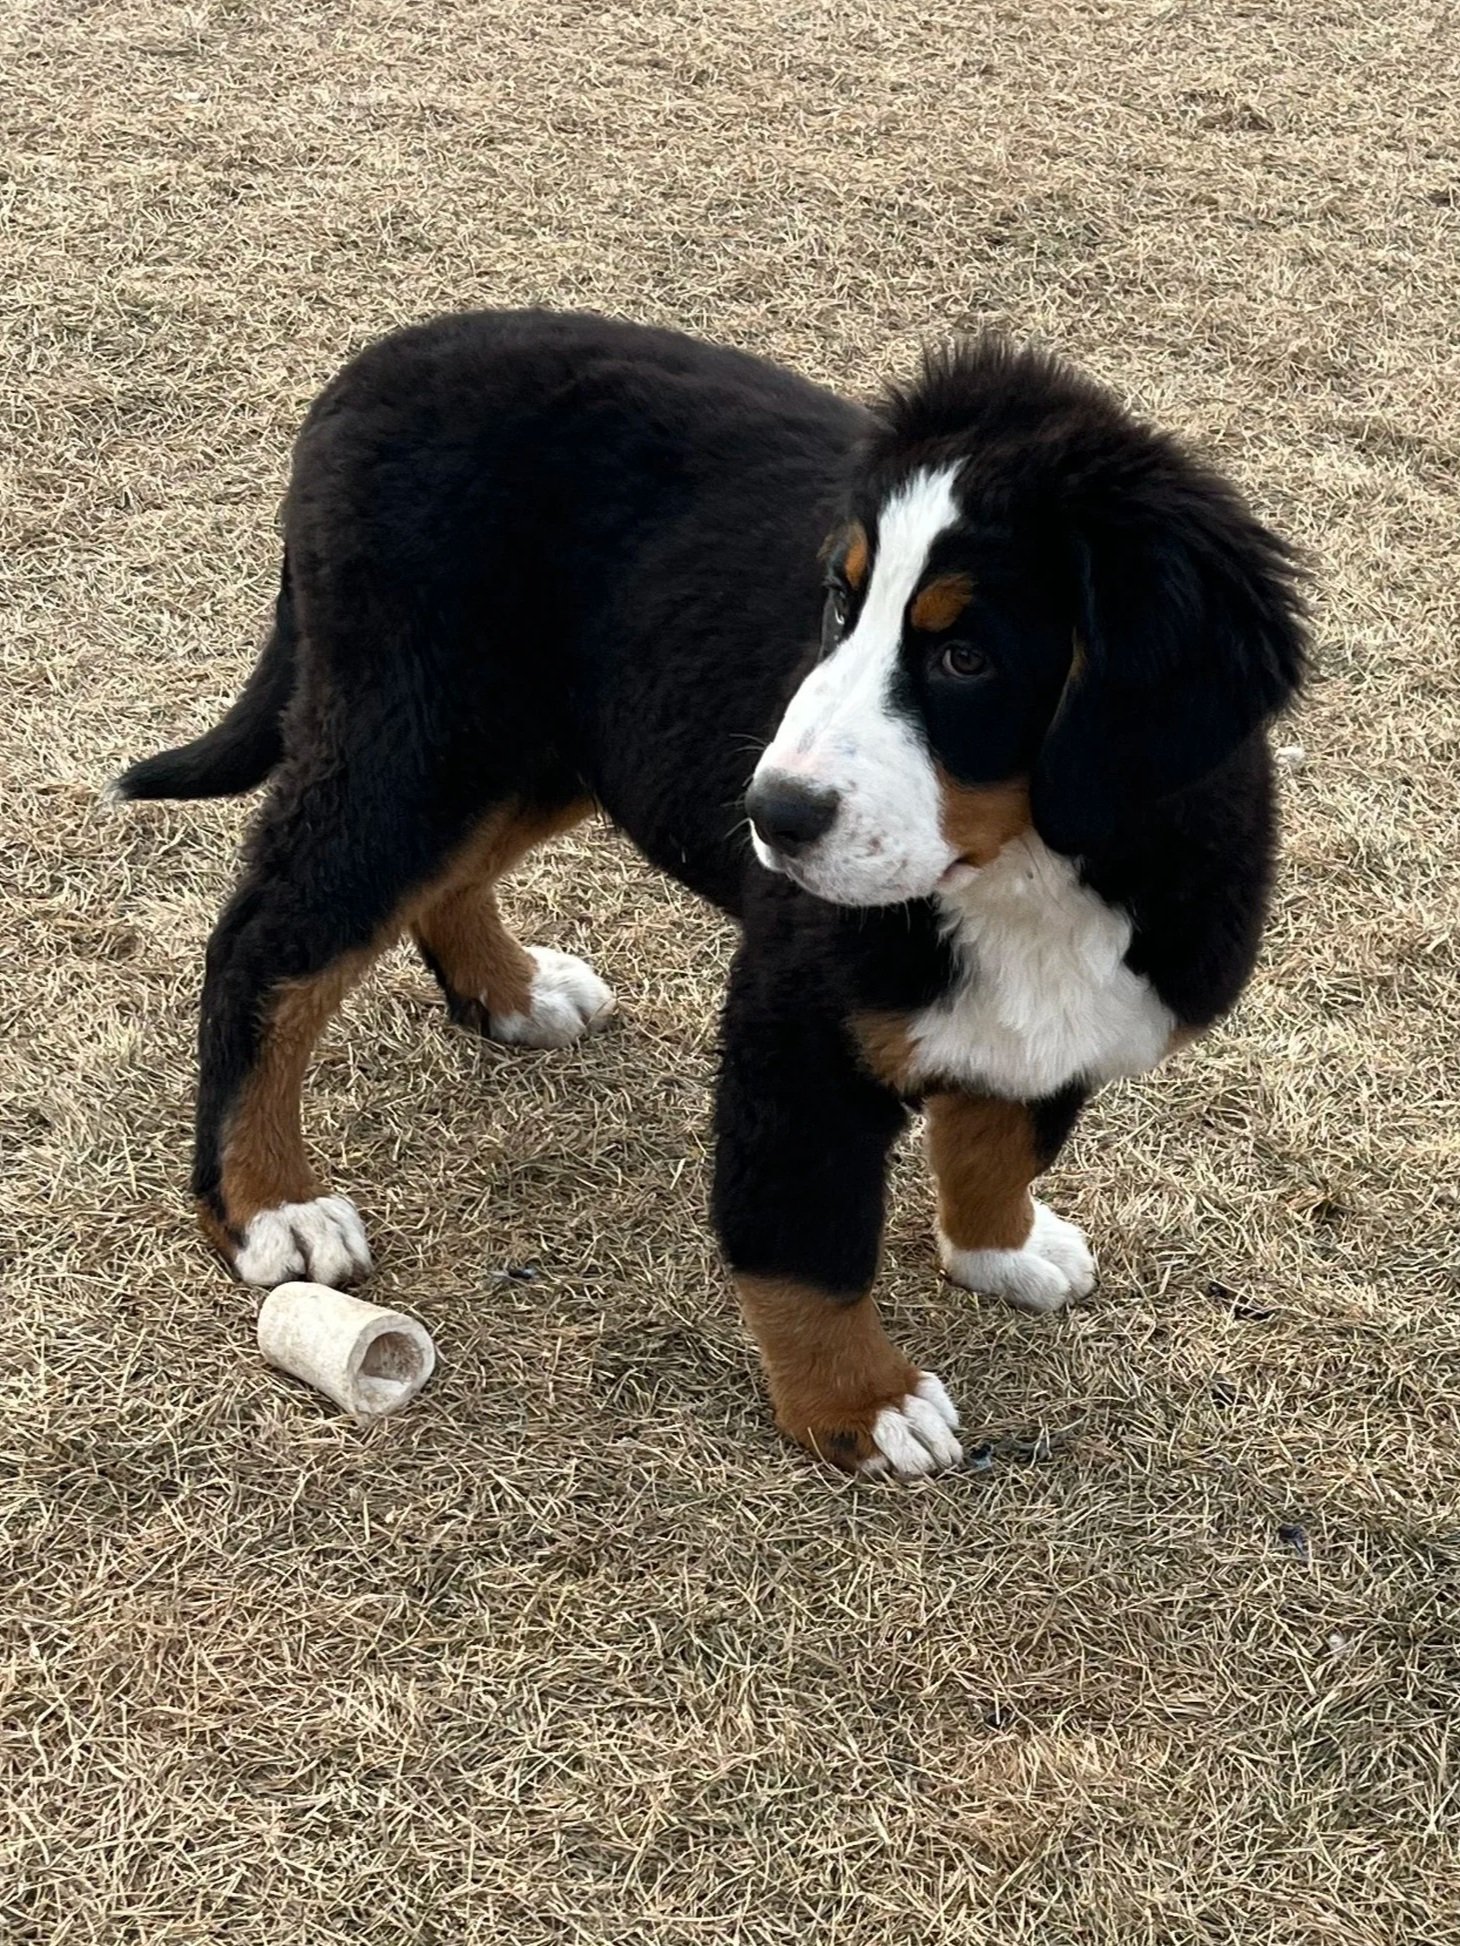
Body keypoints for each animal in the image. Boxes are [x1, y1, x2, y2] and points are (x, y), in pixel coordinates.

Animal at [115, 310, 1306, 1478]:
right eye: (839, 605)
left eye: (965, 656)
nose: (772, 814)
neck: (1031, 868)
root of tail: (383, 357)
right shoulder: (797, 1025)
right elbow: (807, 1238)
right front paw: (857, 1403)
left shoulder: (1070, 1019)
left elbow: (999, 1132)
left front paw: (1000, 1251)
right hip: (416, 732)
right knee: (269, 943)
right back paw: (268, 1204)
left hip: (536, 742)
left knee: (441, 881)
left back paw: (510, 991)